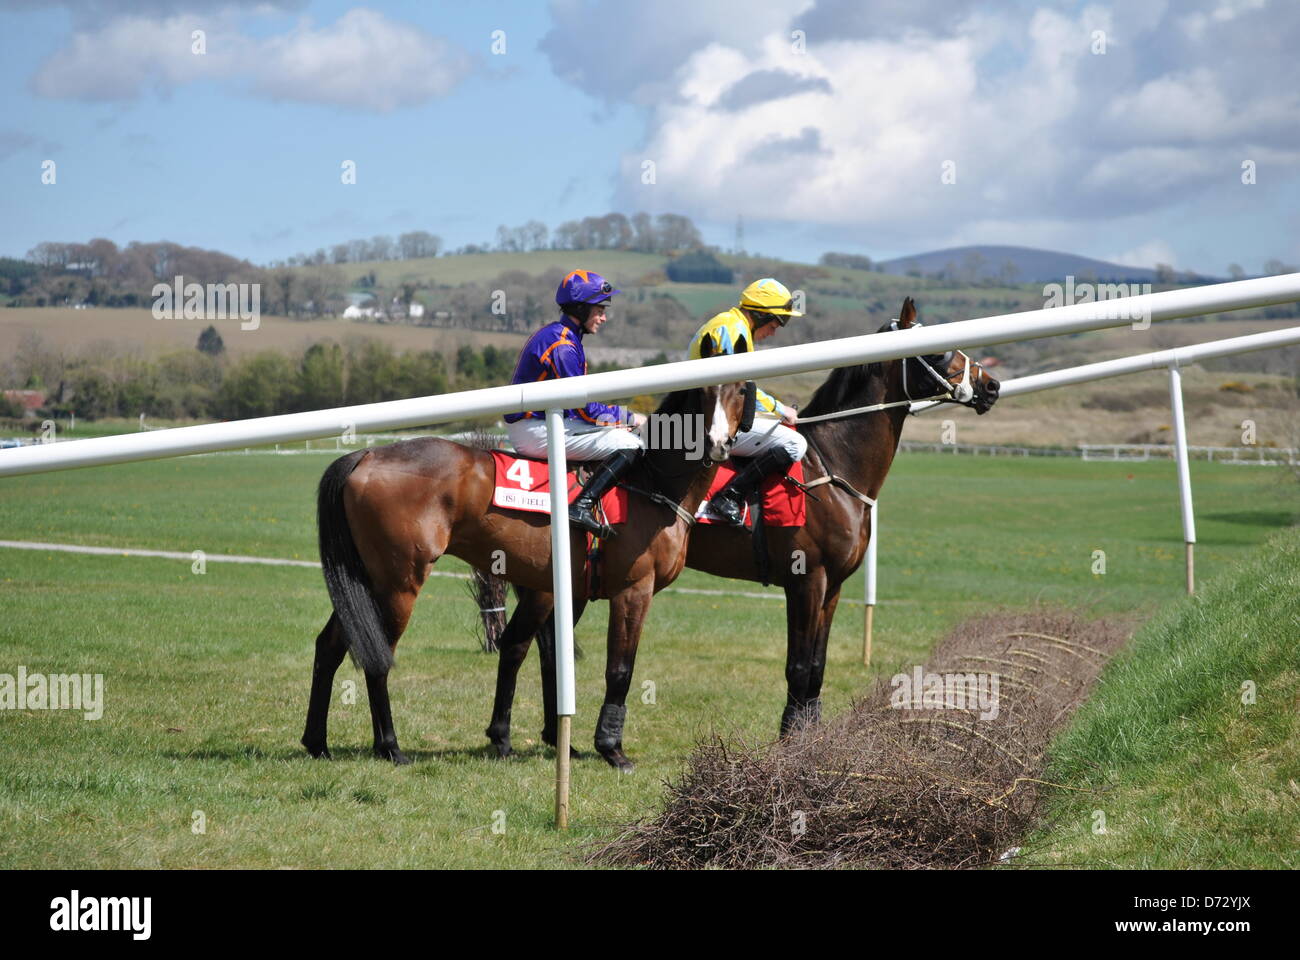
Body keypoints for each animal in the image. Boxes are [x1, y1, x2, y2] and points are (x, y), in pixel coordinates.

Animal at [300, 340, 759, 764]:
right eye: (704, 390)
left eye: (740, 388)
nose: (716, 442)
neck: (651, 483)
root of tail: (366, 454)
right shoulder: (633, 590)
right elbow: (619, 669)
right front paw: (612, 750)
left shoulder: (565, 591)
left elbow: (541, 655)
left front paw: (535, 740)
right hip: (398, 584)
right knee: (378, 657)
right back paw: (390, 746)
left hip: (367, 580)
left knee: (330, 645)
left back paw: (317, 741)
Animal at [483, 295, 998, 764]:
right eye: (940, 352)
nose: (990, 385)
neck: (832, 465)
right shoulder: (806, 580)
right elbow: (800, 665)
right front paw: (791, 740)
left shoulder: (833, 587)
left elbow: (818, 665)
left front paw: (811, 734)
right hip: (553, 583)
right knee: (523, 642)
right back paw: (512, 736)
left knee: (546, 645)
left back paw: (553, 737)